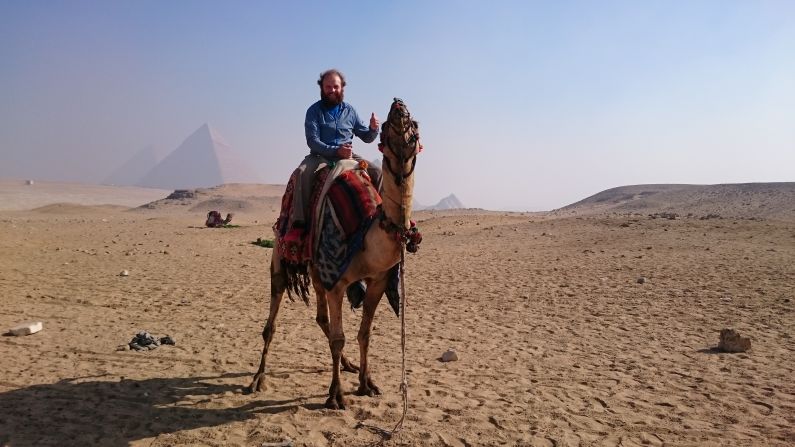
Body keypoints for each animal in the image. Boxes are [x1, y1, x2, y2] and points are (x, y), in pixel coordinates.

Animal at [249, 98, 422, 410]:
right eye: (386, 128)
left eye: (414, 125)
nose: (398, 105)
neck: (367, 233)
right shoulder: (337, 280)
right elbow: (339, 338)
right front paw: (336, 395)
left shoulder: (378, 280)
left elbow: (364, 333)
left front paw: (367, 383)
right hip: (281, 257)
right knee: (272, 322)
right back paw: (258, 379)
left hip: (317, 273)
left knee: (321, 318)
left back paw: (348, 364)